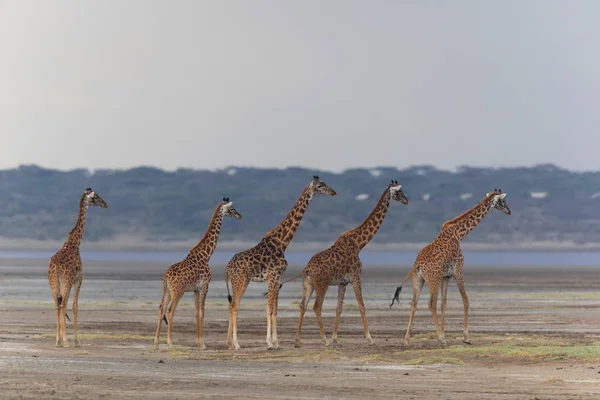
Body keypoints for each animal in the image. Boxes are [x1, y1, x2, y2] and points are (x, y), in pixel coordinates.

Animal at [47, 188, 108, 346]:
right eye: (95, 197)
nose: (105, 204)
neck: (74, 242)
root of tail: (56, 267)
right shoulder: (79, 278)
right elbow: (75, 306)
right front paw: (76, 340)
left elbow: (67, 305)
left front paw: (63, 338)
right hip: (66, 281)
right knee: (63, 304)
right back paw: (65, 341)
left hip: (53, 282)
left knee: (57, 305)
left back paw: (57, 340)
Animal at [155, 198, 244, 348]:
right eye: (231, 209)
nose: (240, 216)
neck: (206, 255)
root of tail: (166, 277)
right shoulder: (205, 286)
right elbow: (203, 312)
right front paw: (202, 344)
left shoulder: (196, 289)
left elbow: (196, 313)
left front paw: (198, 342)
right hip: (177, 291)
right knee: (170, 310)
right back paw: (170, 342)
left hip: (166, 290)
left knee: (161, 309)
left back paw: (156, 341)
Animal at [225, 176, 338, 350]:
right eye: (320, 185)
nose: (333, 192)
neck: (282, 242)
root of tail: (227, 268)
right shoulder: (272, 276)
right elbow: (270, 308)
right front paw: (270, 343)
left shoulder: (278, 277)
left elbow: (275, 309)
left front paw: (276, 342)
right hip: (241, 280)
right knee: (234, 305)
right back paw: (236, 344)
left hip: (242, 281)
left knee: (232, 306)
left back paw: (230, 343)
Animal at [286, 179, 408, 346]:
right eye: (399, 191)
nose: (406, 200)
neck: (359, 243)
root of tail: (307, 268)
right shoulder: (356, 276)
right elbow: (361, 305)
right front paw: (369, 338)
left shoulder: (342, 282)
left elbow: (339, 307)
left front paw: (335, 338)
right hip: (322, 285)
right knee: (317, 306)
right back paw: (324, 340)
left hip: (308, 284)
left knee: (302, 305)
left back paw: (298, 340)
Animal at [390, 189, 510, 346]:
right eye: (503, 201)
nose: (509, 211)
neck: (459, 233)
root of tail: (417, 264)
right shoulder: (458, 271)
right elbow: (465, 301)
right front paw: (465, 337)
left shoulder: (445, 277)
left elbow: (444, 304)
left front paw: (445, 333)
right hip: (432, 280)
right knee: (431, 304)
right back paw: (440, 340)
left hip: (418, 280)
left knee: (413, 304)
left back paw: (406, 339)